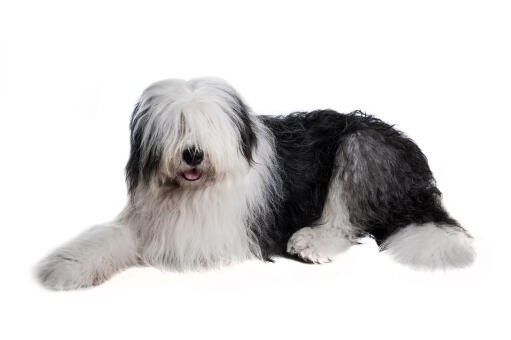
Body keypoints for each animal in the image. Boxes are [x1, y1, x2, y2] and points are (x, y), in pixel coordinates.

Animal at [36, 77, 476, 290]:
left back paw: (310, 244)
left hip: (363, 147)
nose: (192, 154)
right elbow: (111, 237)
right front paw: (67, 267)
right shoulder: (149, 215)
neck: (192, 192)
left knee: (345, 220)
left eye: (208, 125)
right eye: (177, 125)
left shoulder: (215, 231)